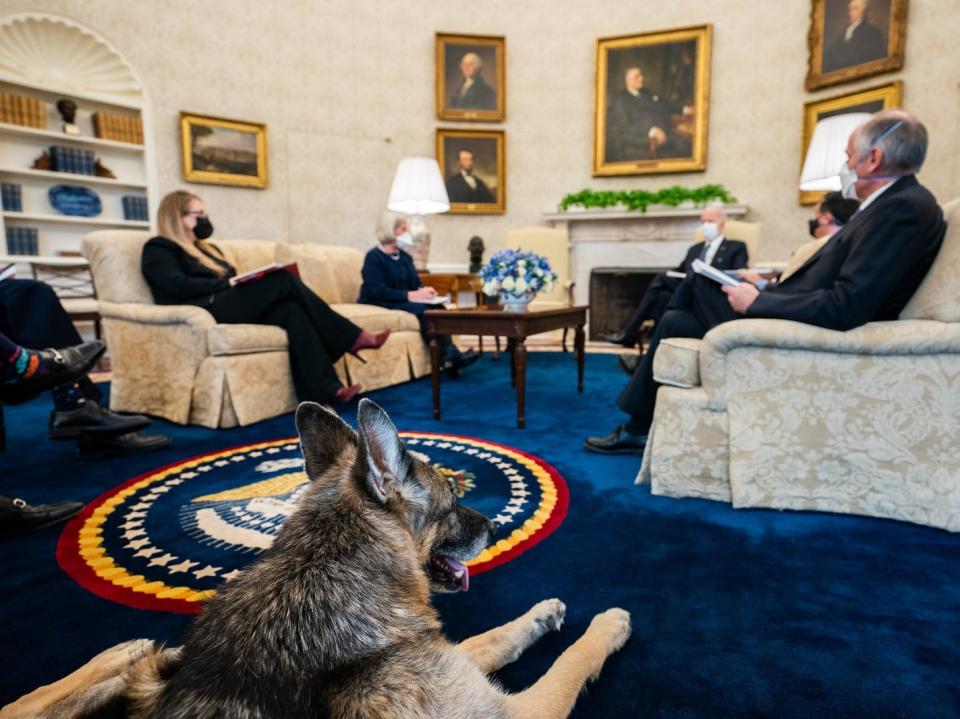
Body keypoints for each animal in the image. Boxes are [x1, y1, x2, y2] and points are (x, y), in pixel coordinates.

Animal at [3, 402, 632, 716]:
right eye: (453, 501)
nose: (496, 525)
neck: (324, 569)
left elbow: (491, 638)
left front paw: (542, 615)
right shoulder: (517, 711)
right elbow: (571, 661)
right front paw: (607, 626)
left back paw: (120, 654)